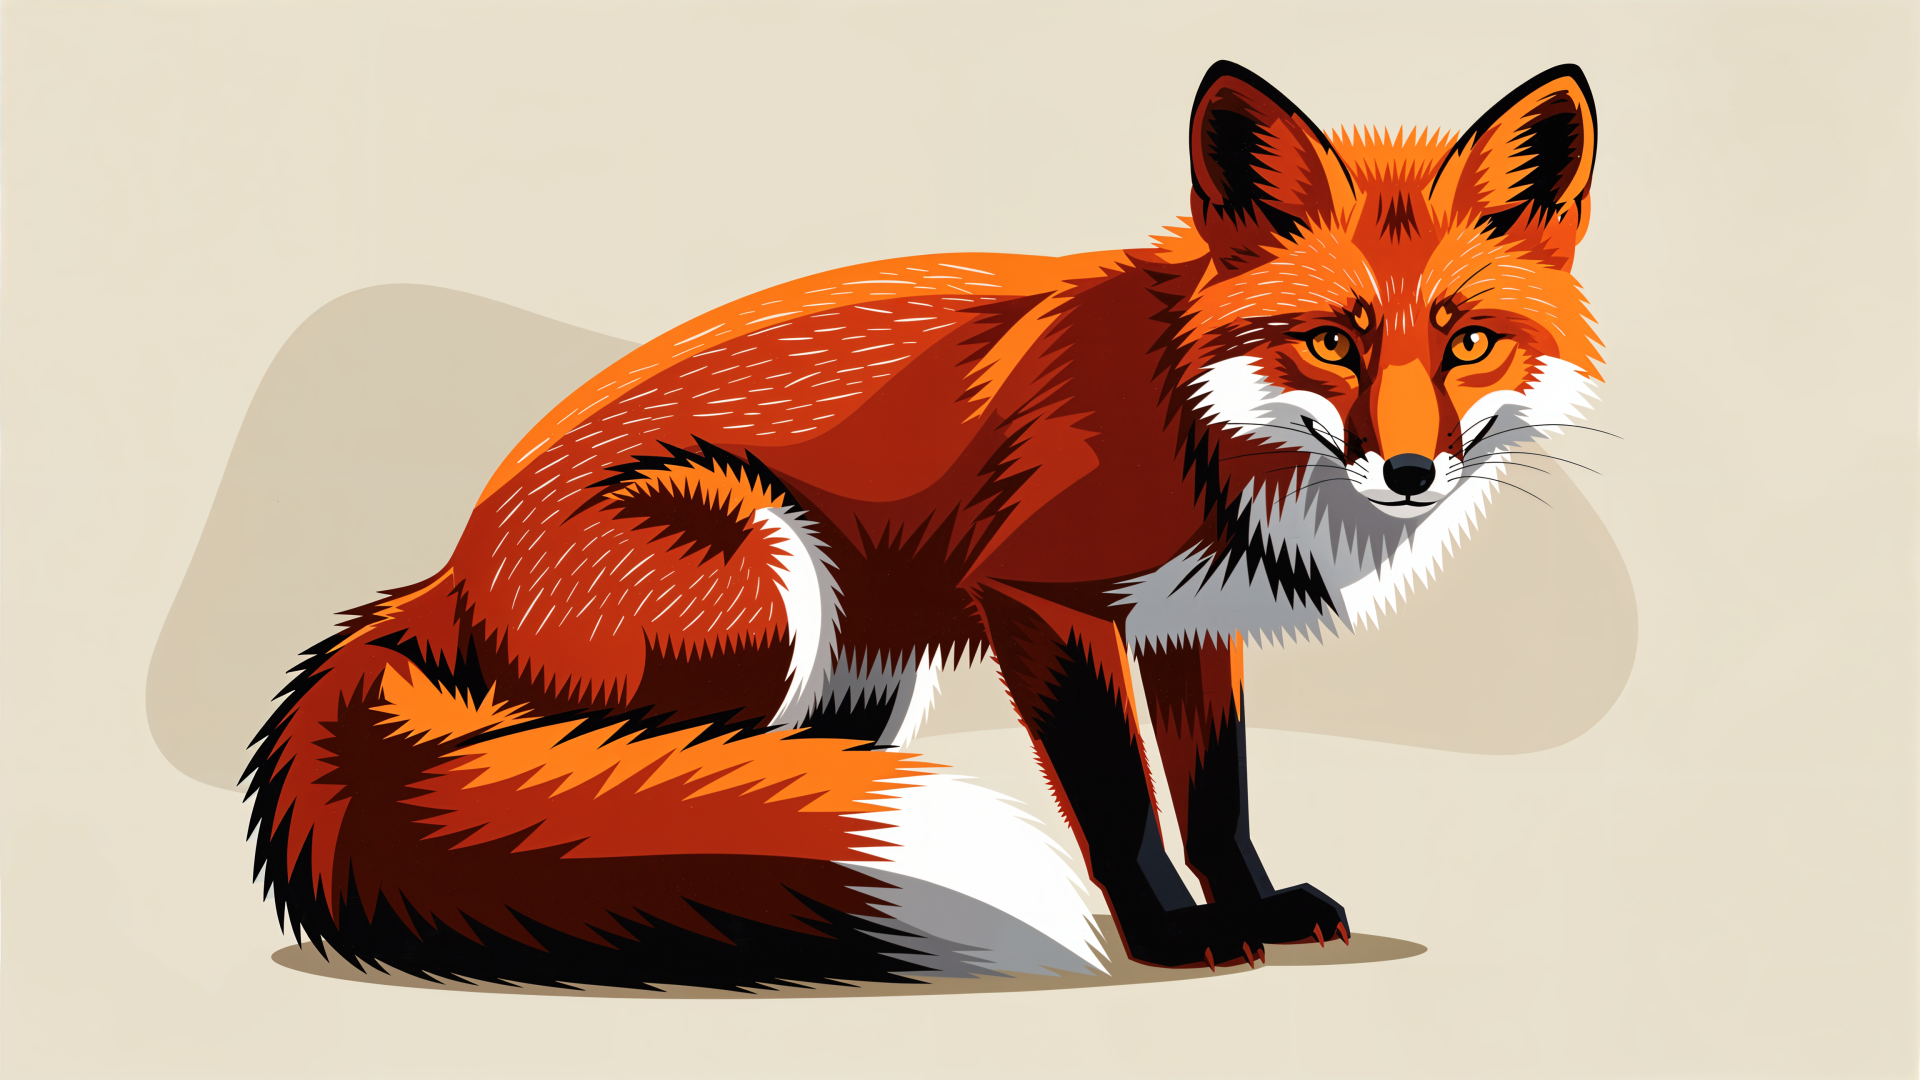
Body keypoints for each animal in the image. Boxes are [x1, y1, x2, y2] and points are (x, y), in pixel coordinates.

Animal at [244, 61, 1601, 990]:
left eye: (1468, 343)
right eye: (1331, 342)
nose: (1411, 470)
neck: (1195, 419)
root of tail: (448, 569)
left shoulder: (1188, 620)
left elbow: (1217, 795)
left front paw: (1252, 905)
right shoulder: (1042, 600)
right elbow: (1119, 798)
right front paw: (1172, 931)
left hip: (864, 673)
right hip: (759, 581)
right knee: (632, 795)